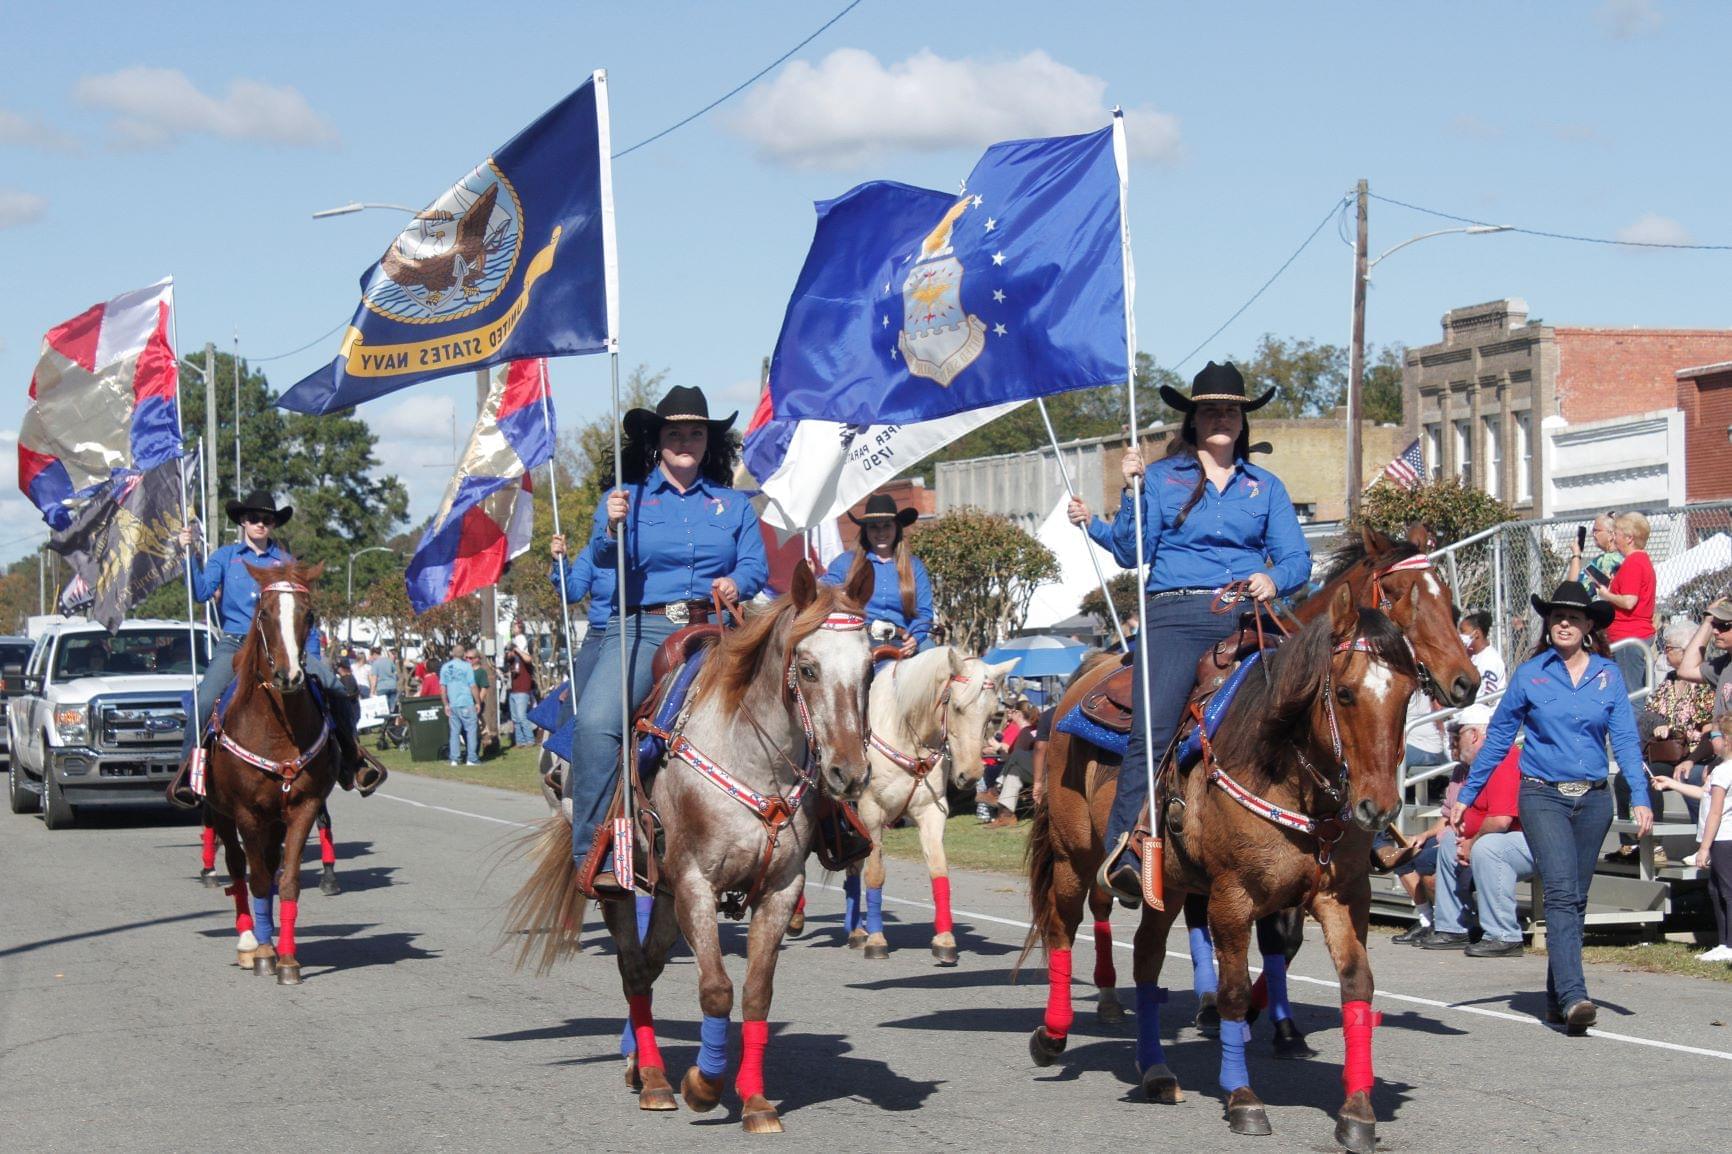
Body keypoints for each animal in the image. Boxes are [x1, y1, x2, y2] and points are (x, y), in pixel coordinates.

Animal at [199, 557, 341, 977]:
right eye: (264, 613)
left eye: (309, 615)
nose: (289, 676)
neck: (277, 731)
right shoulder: (246, 812)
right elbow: (258, 879)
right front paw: (263, 952)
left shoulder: (304, 807)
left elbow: (288, 880)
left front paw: (288, 959)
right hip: (221, 812)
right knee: (236, 868)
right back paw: (248, 939)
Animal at [505, 561, 872, 1129]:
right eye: (808, 669)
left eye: (871, 668)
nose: (848, 773)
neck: (753, 758)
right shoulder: (698, 883)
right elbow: (717, 990)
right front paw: (704, 1085)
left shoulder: (780, 889)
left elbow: (756, 995)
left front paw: (755, 1101)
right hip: (627, 884)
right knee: (634, 969)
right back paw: (655, 1079)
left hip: (667, 893)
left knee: (650, 965)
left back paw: (639, 1063)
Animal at [838, 648, 1011, 963]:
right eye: (957, 707)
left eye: (995, 715)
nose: (971, 776)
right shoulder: (871, 813)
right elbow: (876, 873)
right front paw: (877, 940)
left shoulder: (931, 812)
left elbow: (939, 870)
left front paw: (944, 940)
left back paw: (855, 930)